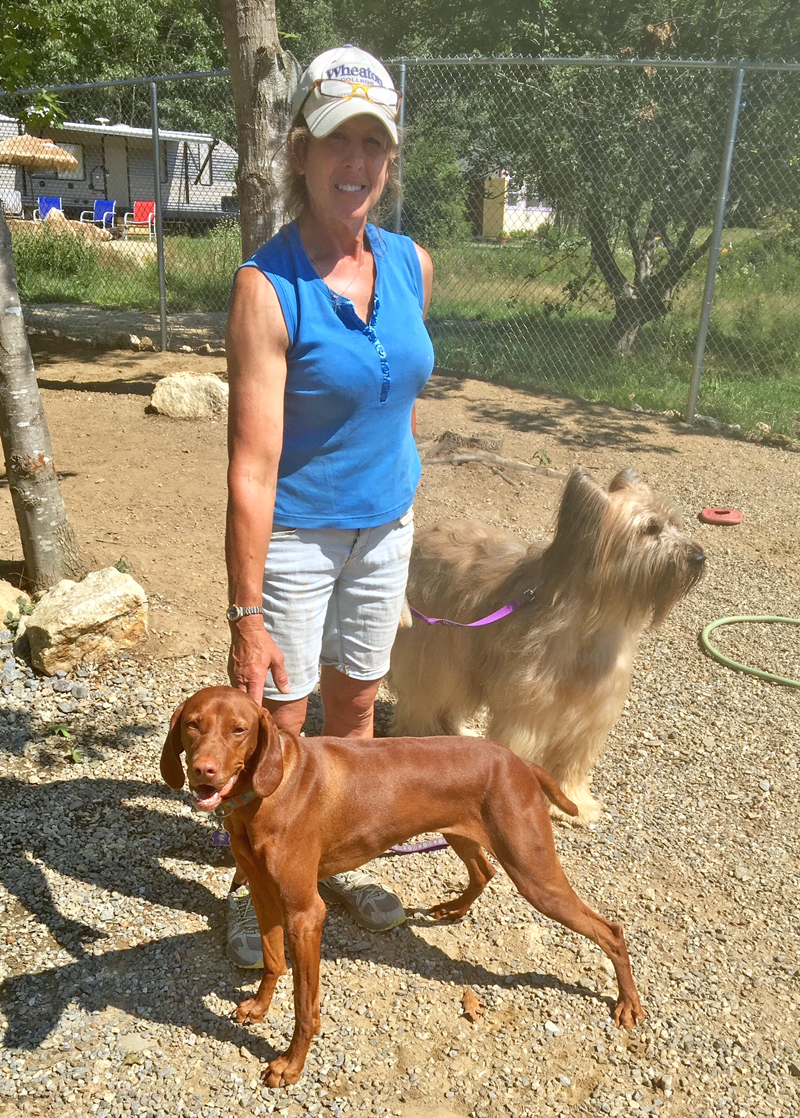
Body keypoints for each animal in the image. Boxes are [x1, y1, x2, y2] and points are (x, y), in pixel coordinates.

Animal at [160, 684, 643, 1086]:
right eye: (192, 724)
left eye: (239, 730)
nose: (203, 772)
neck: (270, 789)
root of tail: (519, 760)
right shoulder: (264, 894)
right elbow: (273, 961)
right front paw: (259, 1007)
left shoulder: (305, 913)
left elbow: (305, 1007)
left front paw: (290, 1065)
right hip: (464, 835)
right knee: (483, 872)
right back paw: (454, 908)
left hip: (533, 871)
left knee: (610, 930)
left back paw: (628, 1002)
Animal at [388, 462, 706, 822]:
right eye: (650, 529)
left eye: (675, 523)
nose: (699, 557)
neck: (590, 624)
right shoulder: (528, 711)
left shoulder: (590, 716)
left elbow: (573, 762)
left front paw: (574, 805)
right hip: (438, 651)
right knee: (424, 699)